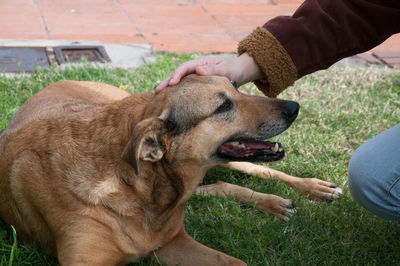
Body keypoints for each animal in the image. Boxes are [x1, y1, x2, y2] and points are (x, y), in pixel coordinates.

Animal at [0, 75, 340, 266]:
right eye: (223, 106)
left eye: (235, 88)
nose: (294, 108)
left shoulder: (173, 241)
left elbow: (237, 262)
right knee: (220, 187)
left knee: (257, 172)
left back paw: (309, 189)